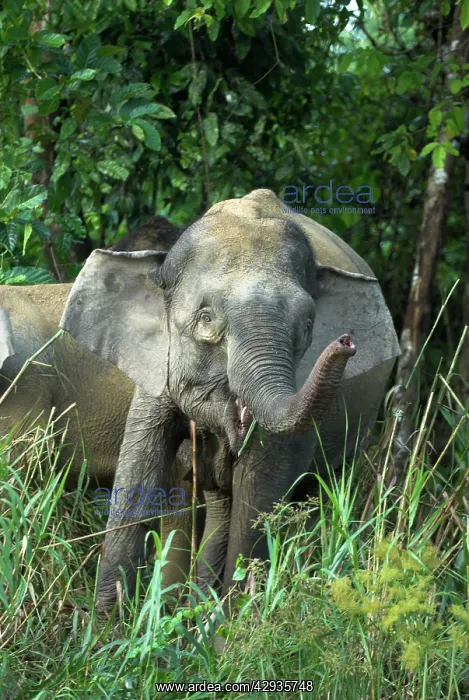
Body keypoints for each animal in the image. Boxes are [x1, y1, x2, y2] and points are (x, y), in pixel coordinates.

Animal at [59, 189, 400, 607]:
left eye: (307, 326)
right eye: (206, 319)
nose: (346, 342)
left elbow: (256, 504)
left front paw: (236, 620)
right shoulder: (154, 377)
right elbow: (136, 482)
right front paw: (108, 622)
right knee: (221, 500)